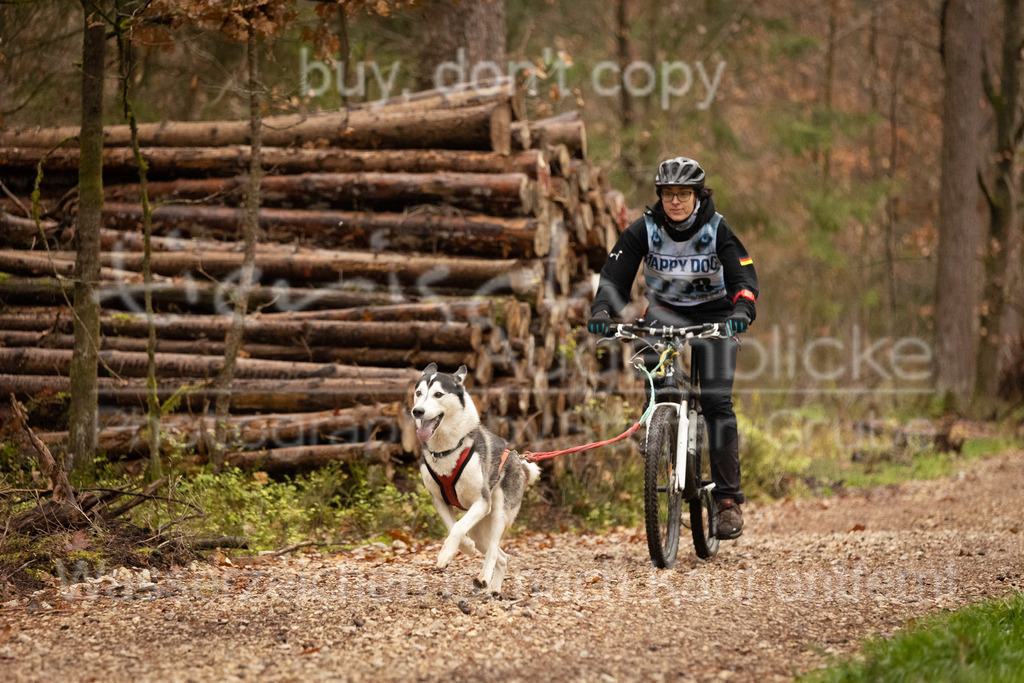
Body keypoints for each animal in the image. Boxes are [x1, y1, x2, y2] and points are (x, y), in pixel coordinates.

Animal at [407, 362, 540, 593]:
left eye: (438, 394)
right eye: (419, 393)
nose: (418, 411)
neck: (446, 450)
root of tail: (517, 458)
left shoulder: (481, 501)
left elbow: (458, 527)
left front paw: (445, 554)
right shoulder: (439, 501)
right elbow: (453, 527)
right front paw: (465, 548)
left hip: (498, 512)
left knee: (494, 549)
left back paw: (484, 577)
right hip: (479, 529)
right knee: (501, 556)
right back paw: (493, 588)